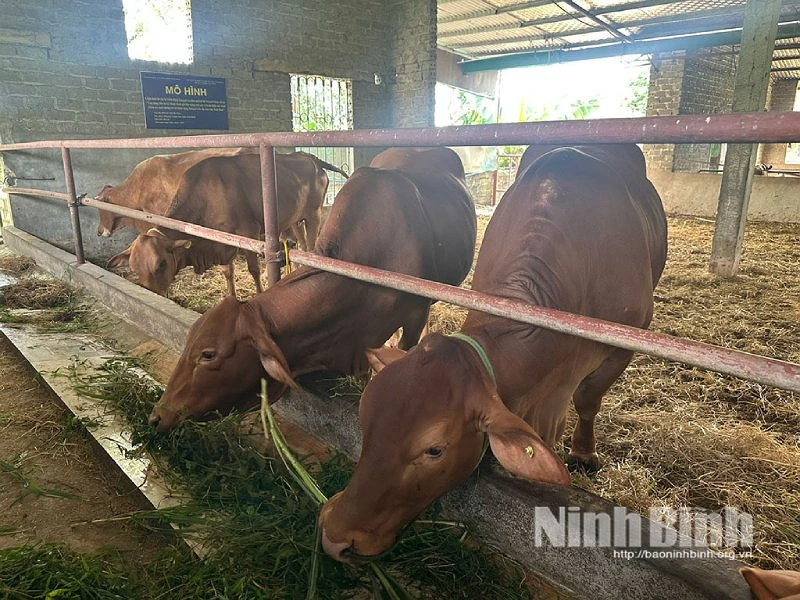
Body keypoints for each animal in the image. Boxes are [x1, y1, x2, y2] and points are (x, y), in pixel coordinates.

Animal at [106, 151, 348, 297]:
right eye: (134, 268)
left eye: (161, 264)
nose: (152, 293)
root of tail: (310, 157)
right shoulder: (219, 239)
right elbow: (227, 272)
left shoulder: (249, 232)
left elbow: (253, 269)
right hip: (294, 219)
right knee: (301, 246)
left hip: (314, 214)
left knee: (311, 247)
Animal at [318, 144, 668, 562]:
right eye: (364, 417)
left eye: (434, 450)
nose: (335, 536)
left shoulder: (624, 345)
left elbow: (587, 400)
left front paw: (583, 454)